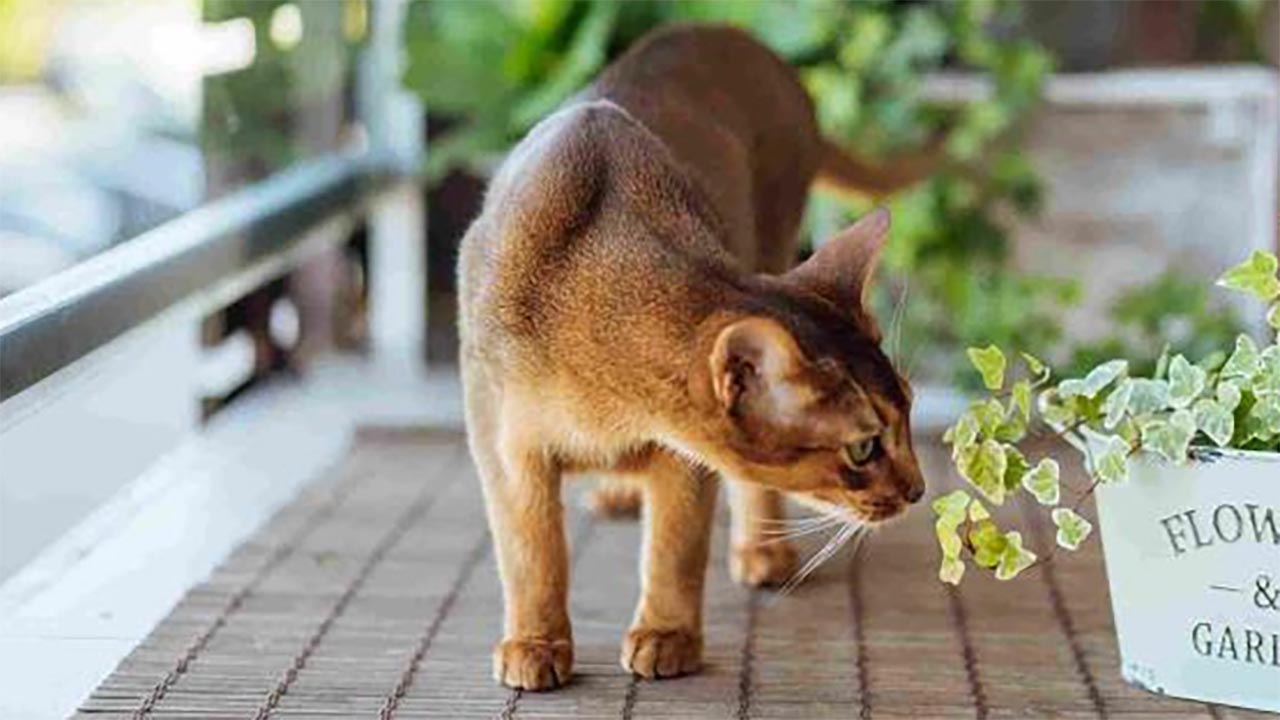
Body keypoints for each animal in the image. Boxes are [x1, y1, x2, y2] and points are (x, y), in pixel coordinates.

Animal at [460, 23, 931, 691]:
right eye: (863, 448)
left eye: (909, 412)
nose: (918, 490)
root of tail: (743, 39)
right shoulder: (502, 441)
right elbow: (531, 551)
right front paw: (535, 642)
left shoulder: (684, 456)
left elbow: (675, 547)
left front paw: (667, 636)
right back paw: (620, 490)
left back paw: (761, 549)